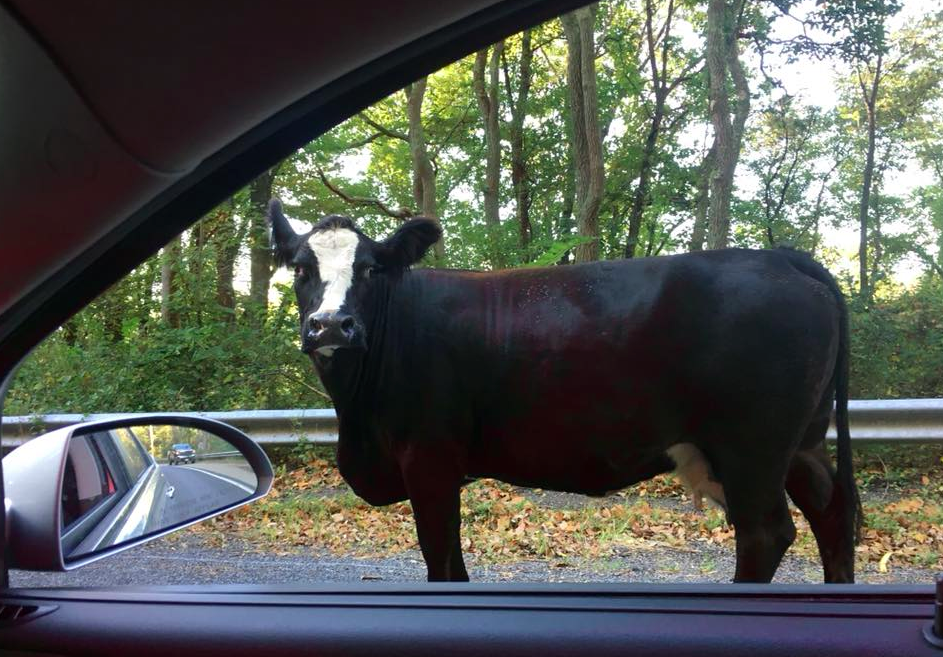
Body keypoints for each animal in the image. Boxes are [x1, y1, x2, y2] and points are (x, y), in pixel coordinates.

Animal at [268, 198, 861, 583]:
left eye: (369, 269)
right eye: (299, 268)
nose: (331, 325)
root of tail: (778, 255)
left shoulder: (429, 459)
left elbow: (441, 561)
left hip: (752, 446)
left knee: (765, 532)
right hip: (800, 442)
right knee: (832, 514)